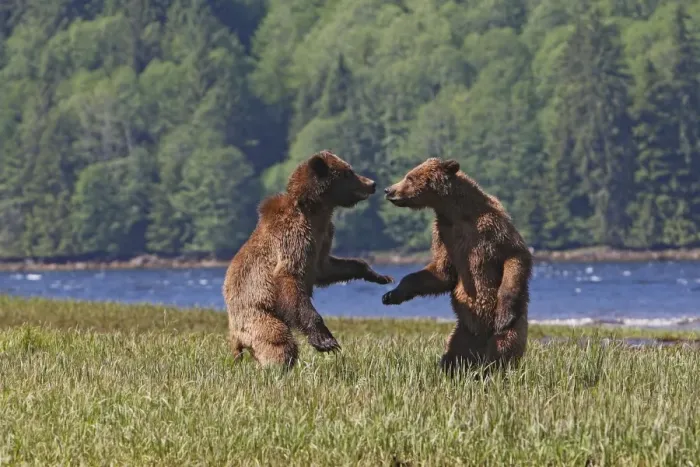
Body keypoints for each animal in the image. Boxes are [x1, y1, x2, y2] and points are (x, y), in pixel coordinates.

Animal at [222, 150, 393, 369]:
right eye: (348, 172)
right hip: (258, 316)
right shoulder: (294, 237)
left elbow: (327, 267)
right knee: (279, 341)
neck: (316, 212)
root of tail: (234, 336)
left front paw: (380, 276)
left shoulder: (323, 239)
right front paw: (326, 341)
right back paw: (277, 368)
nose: (372, 183)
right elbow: (289, 278)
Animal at [381, 157, 532, 374]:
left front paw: (503, 313)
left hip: (512, 328)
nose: (388, 190)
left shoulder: (492, 227)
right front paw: (391, 294)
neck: (456, 212)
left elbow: (515, 255)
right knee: (453, 355)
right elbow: (442, 272)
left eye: (409, 177)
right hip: (463, 333)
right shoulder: (445, 235)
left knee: (503, 347)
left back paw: (494, 369)